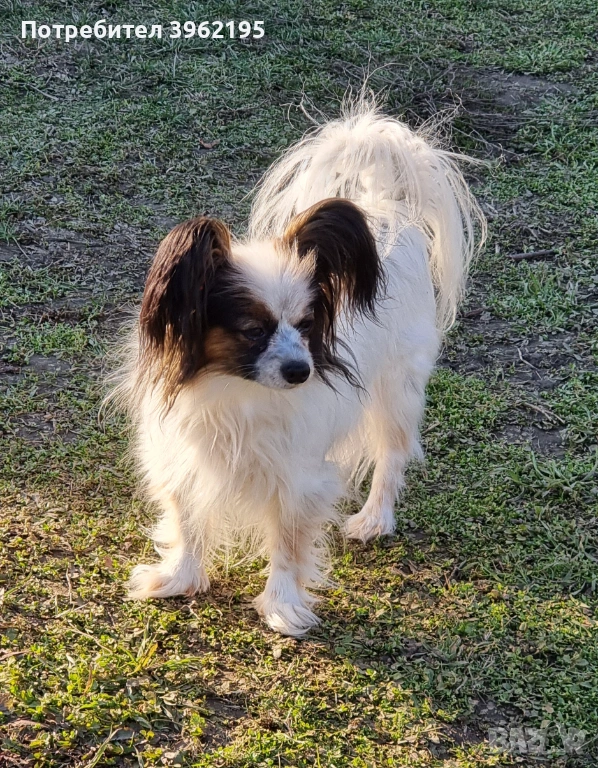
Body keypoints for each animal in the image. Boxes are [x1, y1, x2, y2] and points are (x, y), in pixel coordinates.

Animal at [110, 102, 485, 636]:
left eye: (307, 325)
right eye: (251, 329)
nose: (300, 371)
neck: (236, 391)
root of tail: (386, 209)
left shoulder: (297, 475)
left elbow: (288, 541)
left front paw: (282, 605)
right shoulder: (182, 454)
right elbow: (187, 518)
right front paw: (180, 577)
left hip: (396, 392)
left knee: (392, 453)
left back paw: (374, 519)